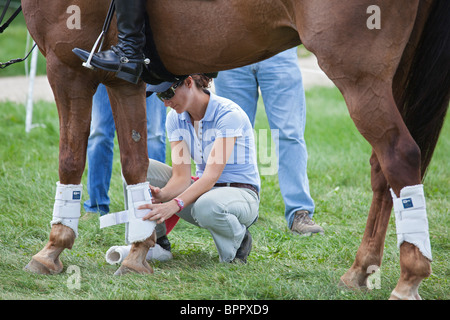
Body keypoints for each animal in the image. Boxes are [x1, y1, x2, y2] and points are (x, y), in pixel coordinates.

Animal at [19, 0, 448, 300]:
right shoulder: (123, 82)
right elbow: (135, 164)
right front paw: (139, 249)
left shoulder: (66, 67)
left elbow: (70, 158)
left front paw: (52, 249)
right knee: (382, 170)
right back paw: (361, 271)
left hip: (359, 75)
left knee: (399, 155)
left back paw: (409, 278)